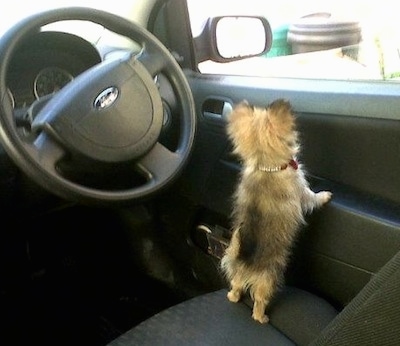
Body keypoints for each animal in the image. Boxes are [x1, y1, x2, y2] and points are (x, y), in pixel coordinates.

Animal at [220, 98, 330, 324]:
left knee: (236, 287)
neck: (266, 167)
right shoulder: (302, 192)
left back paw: (233, 296)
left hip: (238, 276)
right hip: (270, 277)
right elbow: (312, 197)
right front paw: (324, 196)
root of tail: (245, 263)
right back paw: (261, 317)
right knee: (259, 300)